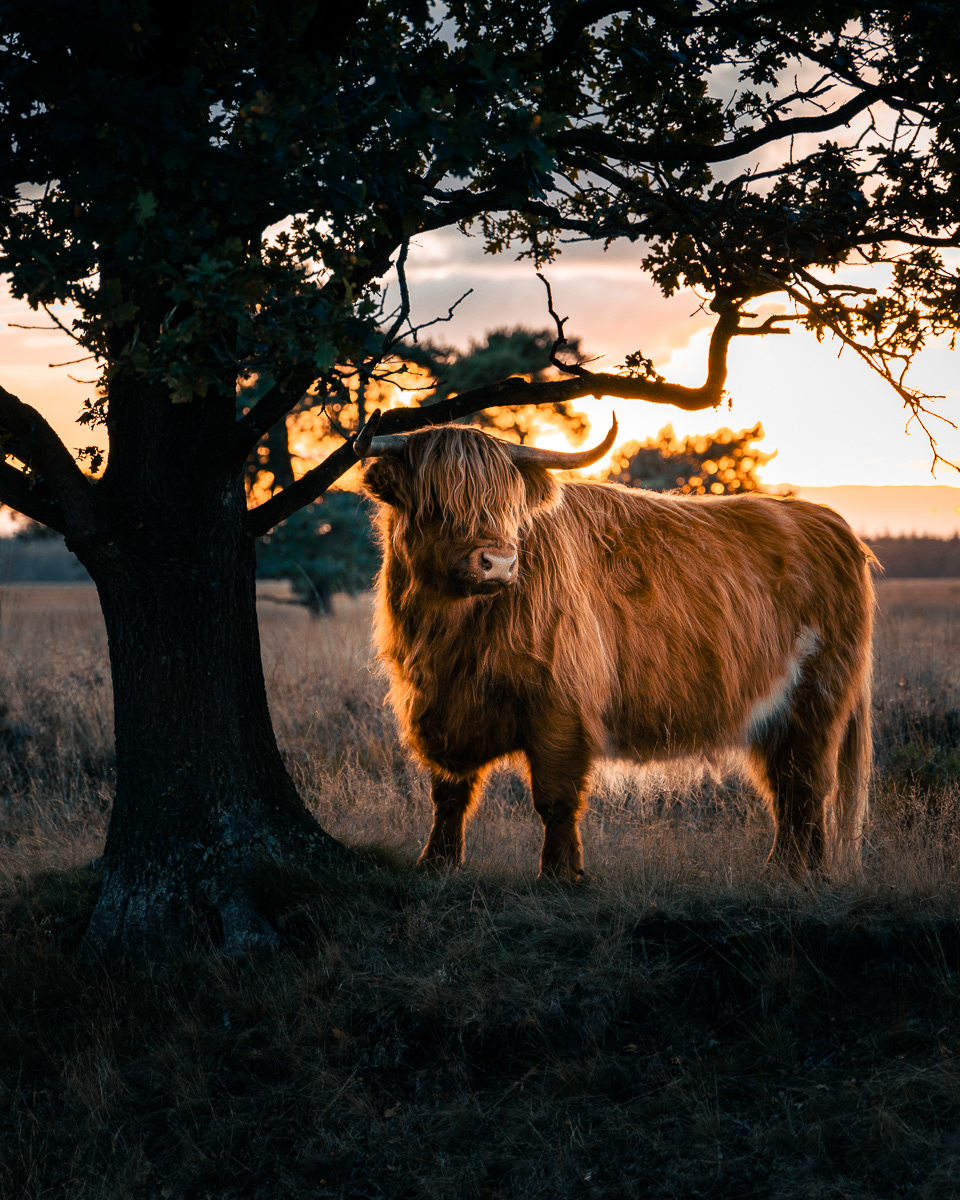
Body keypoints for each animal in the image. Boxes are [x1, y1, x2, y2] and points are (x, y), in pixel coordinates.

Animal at [355, 414, 874, 881]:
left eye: (509, 503)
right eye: (435, 502)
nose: (499, 562)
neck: (453, 634)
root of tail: (828, 522)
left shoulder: (561, 710)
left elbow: (555, 798)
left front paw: (559, 875)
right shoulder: (438, 707)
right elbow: (448, 793)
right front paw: (436, 862)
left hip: (816, 701)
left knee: (806, 785)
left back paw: (801, 873)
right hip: (777, 716)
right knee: (788, 787)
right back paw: (793, 871)